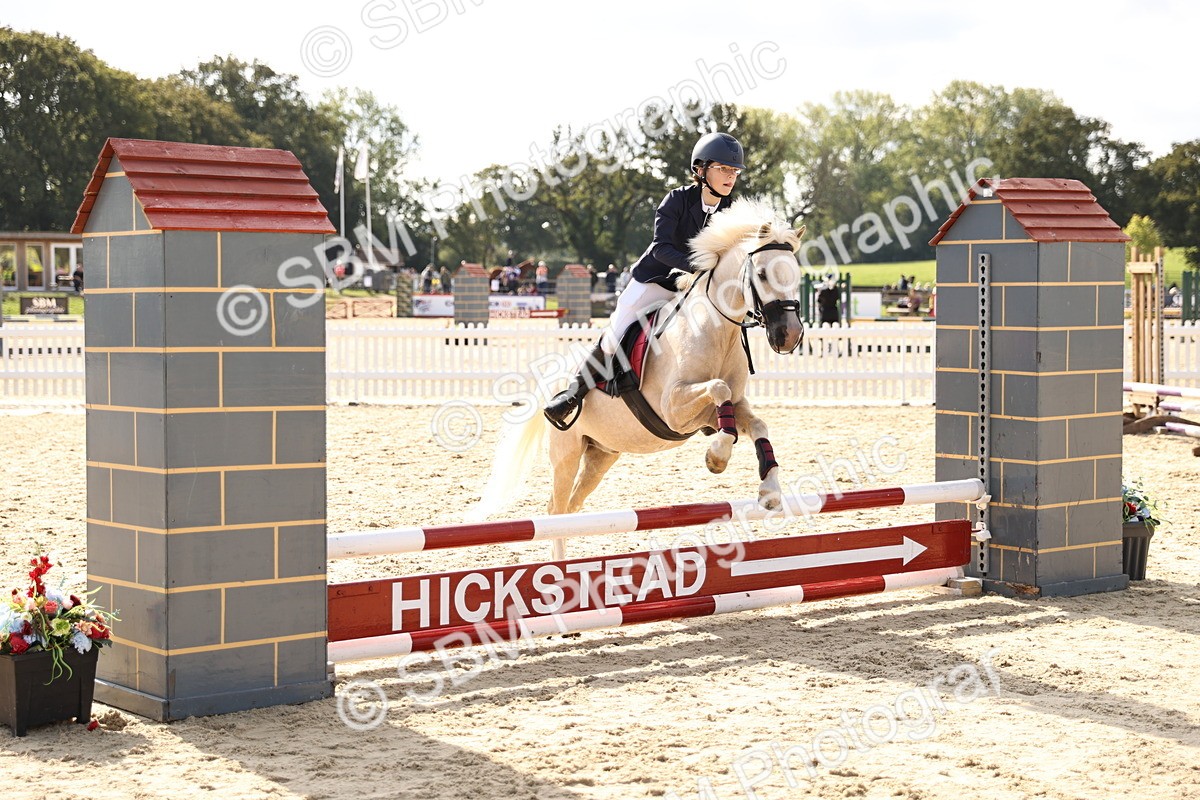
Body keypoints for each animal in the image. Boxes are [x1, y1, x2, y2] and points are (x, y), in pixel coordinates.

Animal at [474, 199, 805, 555]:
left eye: (796, 274)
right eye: (762, 274)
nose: (790, 336)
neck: (717, 331)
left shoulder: (715, 411)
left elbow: (755, 423)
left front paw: (770, 491)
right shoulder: (674, 409)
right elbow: (719, 389)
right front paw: (717, 457)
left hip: (602, 454)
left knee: (572, 505)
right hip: (566, 452)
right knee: (556, 509)